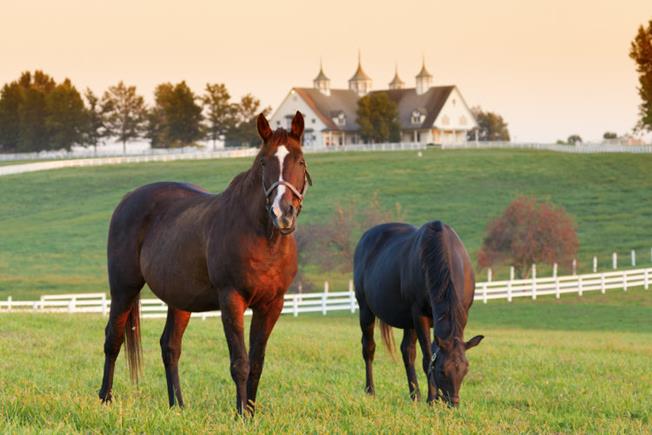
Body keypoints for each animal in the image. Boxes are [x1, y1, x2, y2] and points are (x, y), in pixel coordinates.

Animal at [98, 111, 312, 416]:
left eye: (300, 161)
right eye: (263, 162)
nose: (283, 213)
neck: (264, 239)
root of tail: (128, 200)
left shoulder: (272, 305)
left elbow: (257, 363)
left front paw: (251, 413)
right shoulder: (231, 299)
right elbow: (240, 362)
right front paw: (241, 415)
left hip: (179, 299)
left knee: (170, 346)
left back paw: (177, 405)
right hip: (124, 288)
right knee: (113, 339)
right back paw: (105, 398)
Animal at [353, 220, 484, 406]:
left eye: (465, 370)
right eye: (442, 371)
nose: (453, 403)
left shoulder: (461, 315)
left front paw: (434, 397)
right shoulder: (420, 316)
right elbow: (428, 358)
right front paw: (432, 399)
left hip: (408, 321)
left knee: (407, 351)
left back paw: (415, 395)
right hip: (366, 310)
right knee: (369, 347)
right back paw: (370, 390)